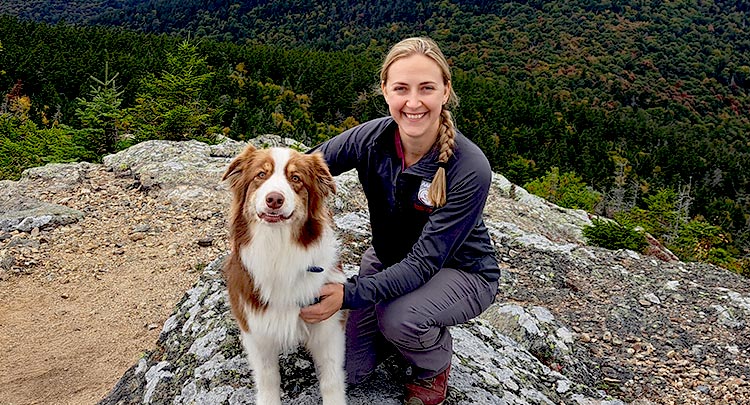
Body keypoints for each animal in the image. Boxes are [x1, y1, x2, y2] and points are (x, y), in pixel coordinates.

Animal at [222, 144, 348, 402]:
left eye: (296, 178)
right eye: (261, 175)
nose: (274, 199)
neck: (278, 248)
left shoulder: (328, 323)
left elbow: (331, 378)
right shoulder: (257, 328)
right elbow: (268, 377)